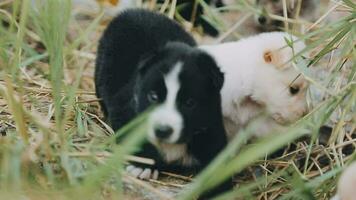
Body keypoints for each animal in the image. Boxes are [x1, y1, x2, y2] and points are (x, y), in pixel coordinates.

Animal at [96, 9, 232, 197]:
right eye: (153, 97)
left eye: (190, 103)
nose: (162, 130)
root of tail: (132, 11)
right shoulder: (125, 106)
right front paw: (142, 164)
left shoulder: (210, 122)